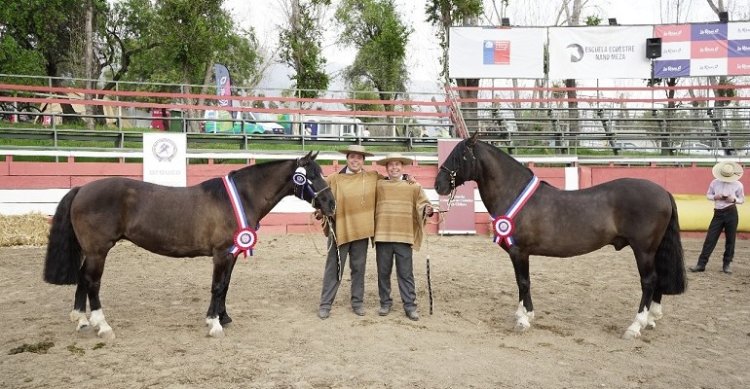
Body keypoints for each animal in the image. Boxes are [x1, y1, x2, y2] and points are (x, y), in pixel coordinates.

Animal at [42, 150, 334, 338]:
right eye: (310, 176)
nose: (331, 203)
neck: (239, 198)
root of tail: (82, 188)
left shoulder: (231, 254)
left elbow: (225, 285)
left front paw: (224, 317)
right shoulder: (221, 254)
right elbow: (217, 286)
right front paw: (214, 324)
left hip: (91, 252)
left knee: (82, 278)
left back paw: (81, 320)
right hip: (98, 251)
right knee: (92, 282)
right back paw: (102, 326)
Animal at [434, 134, 688, 340]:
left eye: (460, 157)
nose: (438, 185)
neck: (514, 193)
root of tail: (663, 191)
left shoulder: (519, 252)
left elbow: (523, 282)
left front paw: (523, 320)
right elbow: (522, 283)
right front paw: (525, 314)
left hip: (643, 250)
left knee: (649, 281)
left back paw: (635, 326)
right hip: (652, 250)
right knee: (657, 280)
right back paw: (651, 320)